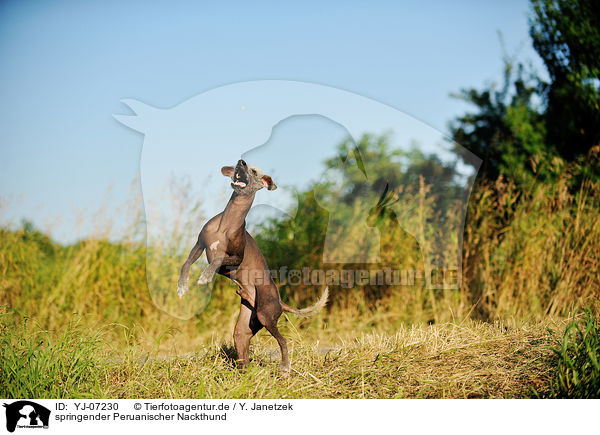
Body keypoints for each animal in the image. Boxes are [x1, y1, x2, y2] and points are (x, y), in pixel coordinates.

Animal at [177, 160, 328, 374]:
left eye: (254, 171)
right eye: (239, 164)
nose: (241, 162)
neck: (227, 222)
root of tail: (280, 301)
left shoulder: (235, 258)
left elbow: (216, 261)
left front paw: (205, 276)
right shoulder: (199, 245)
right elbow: (186, 263)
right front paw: (182, 285)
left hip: (266, 315)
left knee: (283, 341)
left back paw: (285, 367)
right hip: (246, 324)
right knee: (243, 345)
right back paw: (244, 373)